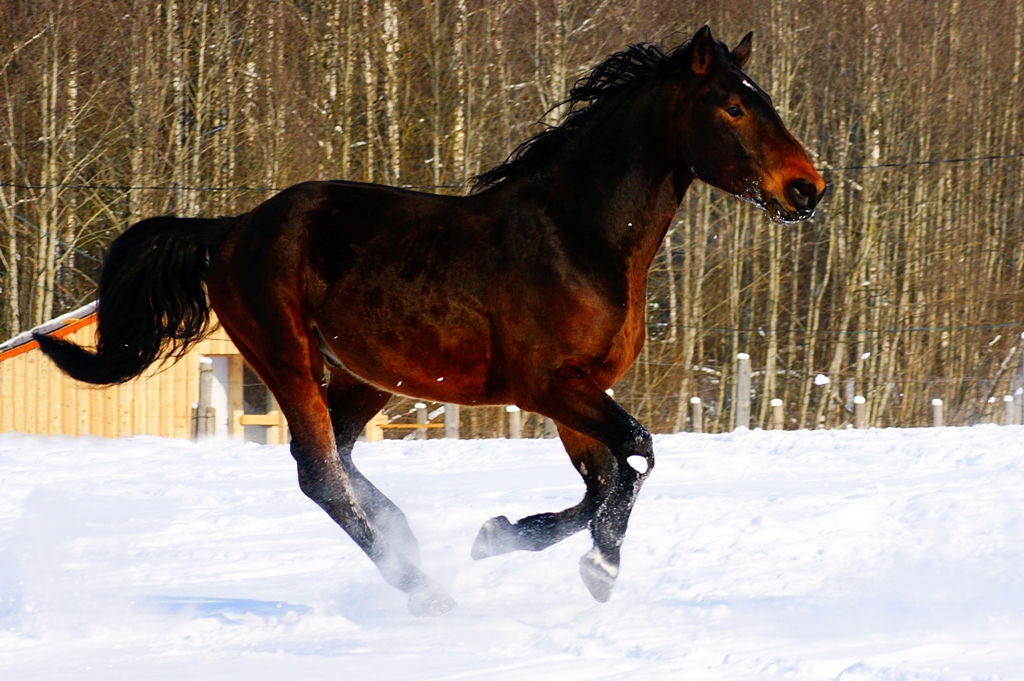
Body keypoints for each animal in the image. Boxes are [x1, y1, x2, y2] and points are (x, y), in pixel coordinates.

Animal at [36, 26, 827, 614]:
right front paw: (594, 568)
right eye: (732, 109)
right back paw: (424, 588)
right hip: (287, 357)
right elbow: (635, 454)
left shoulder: (579, 391)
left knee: (340, 459)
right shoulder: (547, 386)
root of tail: (231, 229)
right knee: (320, 472)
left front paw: (501, 534)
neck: (580, 237)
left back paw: (408, 544)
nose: (807, 189)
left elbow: (604, 478)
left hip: (365, 375)